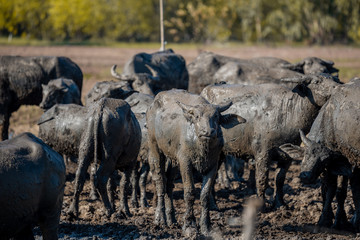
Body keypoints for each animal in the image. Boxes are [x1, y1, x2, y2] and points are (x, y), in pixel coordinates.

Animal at [146, 89, 245, 235]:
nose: (208, 131)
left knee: (169, 183)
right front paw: (189, 225)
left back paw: (171, 219)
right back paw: (160, 219)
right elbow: (190, 192)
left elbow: (205, 194)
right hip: (154, 148)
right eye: (197, 116)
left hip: (174, 159)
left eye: (215, 116)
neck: (202, 147)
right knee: (160, 181)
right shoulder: (185, 162)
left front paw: (206, 226)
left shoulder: (213, 165)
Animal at [201, 74, 342, 208]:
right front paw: (262, 205)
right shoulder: (262, 154)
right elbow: (262, 179)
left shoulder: (287, 157)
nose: (337, 88)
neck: (288, 112)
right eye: (317, 81)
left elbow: (279, 180)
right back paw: (213, 204)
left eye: (334, 79)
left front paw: (280, 203)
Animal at [298, 80, 360, 231]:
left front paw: (330, 220)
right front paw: (334, 219)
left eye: (324, 160)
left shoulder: (344, 165)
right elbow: (330, 190)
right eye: (306, 153)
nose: (305, 176)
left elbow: (339, 191)